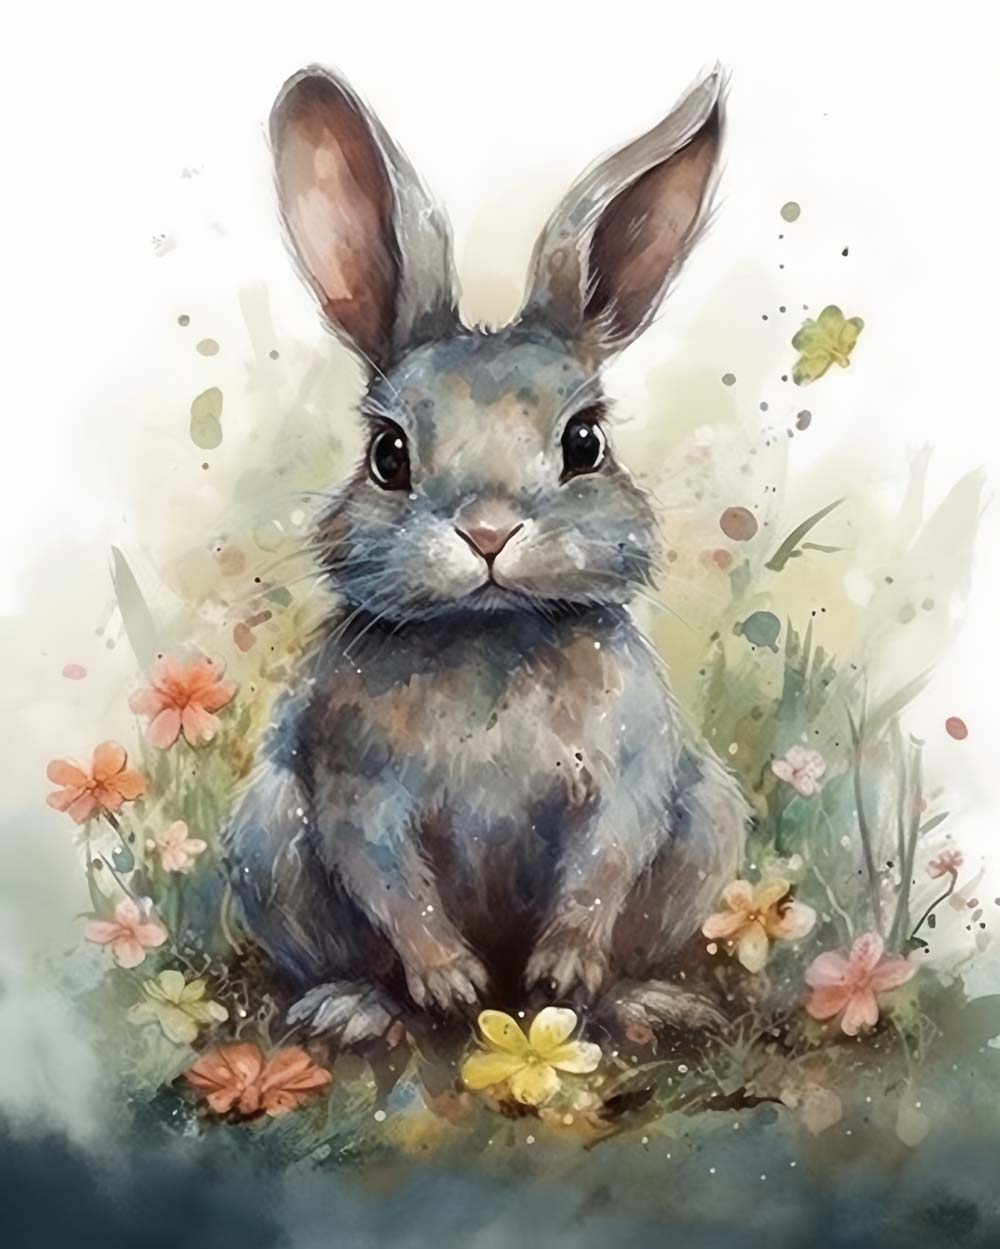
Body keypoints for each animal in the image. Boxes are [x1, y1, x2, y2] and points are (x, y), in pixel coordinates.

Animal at [224, 63, 748, 1046]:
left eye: (585, 442)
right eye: (388, 454)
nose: (490, 533)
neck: (492, 630)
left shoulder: (630, 781)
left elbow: (604, 863)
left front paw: (562, 968)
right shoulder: (355, 790)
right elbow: (389, 878)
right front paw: (451, 980)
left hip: (710, 823)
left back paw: (642, 1000)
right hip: (268, 836)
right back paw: (354, 1007)